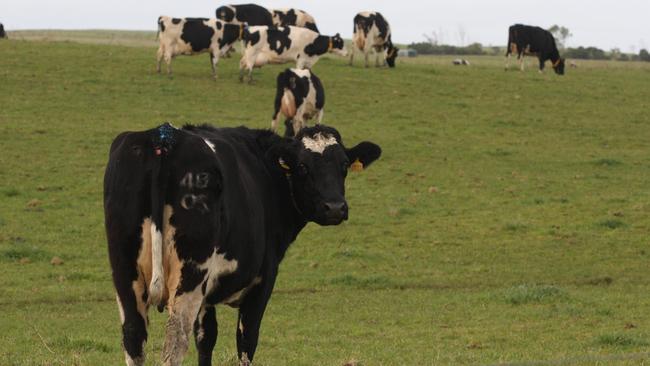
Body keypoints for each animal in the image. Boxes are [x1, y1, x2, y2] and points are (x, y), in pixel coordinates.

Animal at [104, 123, 382, 366]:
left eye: (344, 165)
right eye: (303, 166)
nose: (335, 207)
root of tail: (163, 138)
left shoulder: (207, 297)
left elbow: (206, 340)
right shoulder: (262, 282)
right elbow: (246, 341)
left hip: (125, 274)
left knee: (133, 339)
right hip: (190, 274)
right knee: (175, 343)